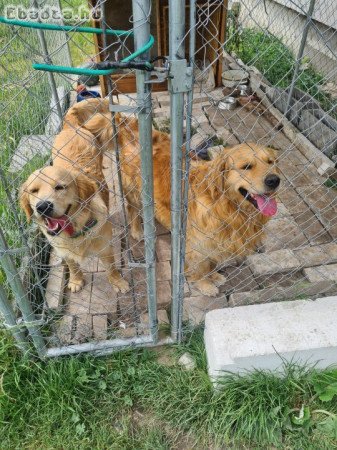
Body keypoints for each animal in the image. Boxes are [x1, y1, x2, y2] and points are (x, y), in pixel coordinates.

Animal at [19, 109, 129, 296]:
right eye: (34, 191)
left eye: (60, 187)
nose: (43, 206)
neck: (75, 229)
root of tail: (70, 125)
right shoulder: (63, 251)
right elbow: (72, 265)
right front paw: (76, 280)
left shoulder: (105, 247)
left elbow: (112, 268)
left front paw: (118, 282)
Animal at [69, 98, 280, 296]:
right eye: (247, 166)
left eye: (271, 162)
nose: (274, 180)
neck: (224, 204)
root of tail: (129, 125)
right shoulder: (196, 242)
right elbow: (201, 266)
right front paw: (205, 284)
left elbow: (211, 262)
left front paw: (214, 276)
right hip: (135, 191)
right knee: (133, 210)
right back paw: (137, 230)